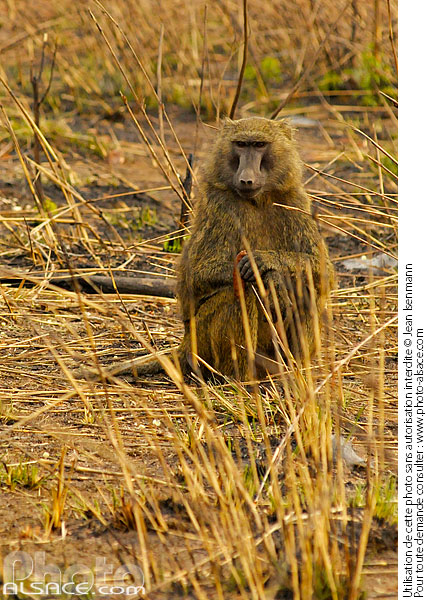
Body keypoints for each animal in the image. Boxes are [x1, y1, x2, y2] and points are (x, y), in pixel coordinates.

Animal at [81, 117, 333, 382]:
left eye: (259, 145)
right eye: (241, 145)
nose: (246, 179)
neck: (258, 200)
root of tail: (184, 346)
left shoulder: (294, 200)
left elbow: (322, 270)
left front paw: (268, 265)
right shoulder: (219, 206)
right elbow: (198, 275)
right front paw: (265, 272)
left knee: (305, 286)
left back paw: (291, 372)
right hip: (200, 343)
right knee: (240, 289)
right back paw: (239, 379)